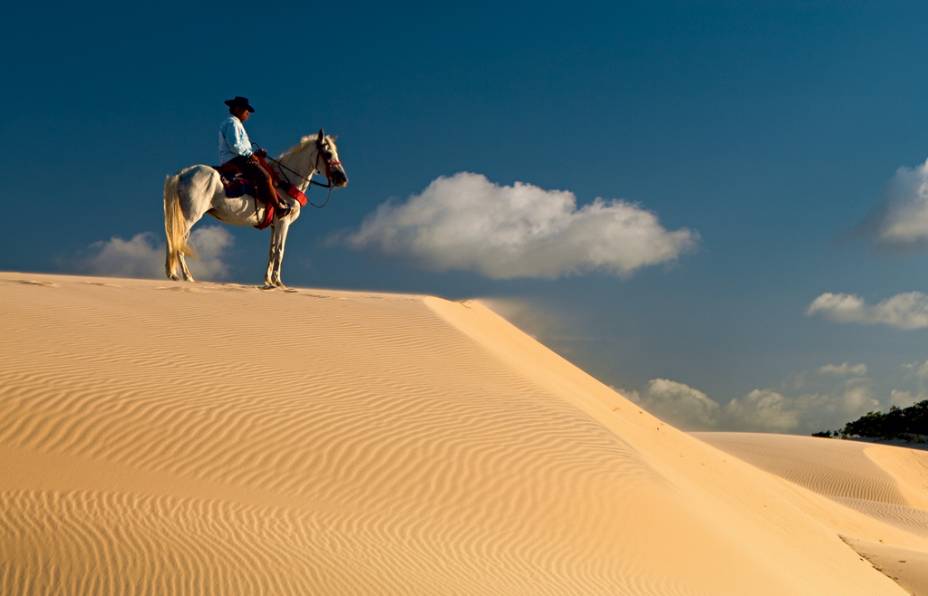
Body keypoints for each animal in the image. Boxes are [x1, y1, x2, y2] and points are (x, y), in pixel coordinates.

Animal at [163, 130, 348, 288]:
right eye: (328, 154)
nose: (342, 179)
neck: (286, 181)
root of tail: (181, 173)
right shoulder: (283, 222)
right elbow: (280, 250)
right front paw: (278, 282)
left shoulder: (274, 225)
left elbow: (271, 251)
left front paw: (268, 282)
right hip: (189, 217)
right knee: (178, 240)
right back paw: (186, 277)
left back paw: (176, 275)